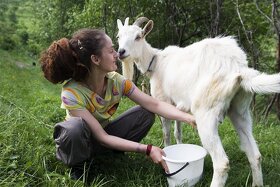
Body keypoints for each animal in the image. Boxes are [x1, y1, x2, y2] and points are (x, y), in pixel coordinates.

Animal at [116, 16, 280, 186]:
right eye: (118, 37)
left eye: (138, 36)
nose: (121, 52)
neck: (155, 62)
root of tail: (238, 67)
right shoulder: (177, 105)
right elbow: (178, 131)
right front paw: (179, 147)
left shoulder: (163, 100)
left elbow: (166, 133)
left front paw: (166, 154)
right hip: (240, 109)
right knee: (255, 155)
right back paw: (257, 182)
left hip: (206, 110)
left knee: (222, 162)